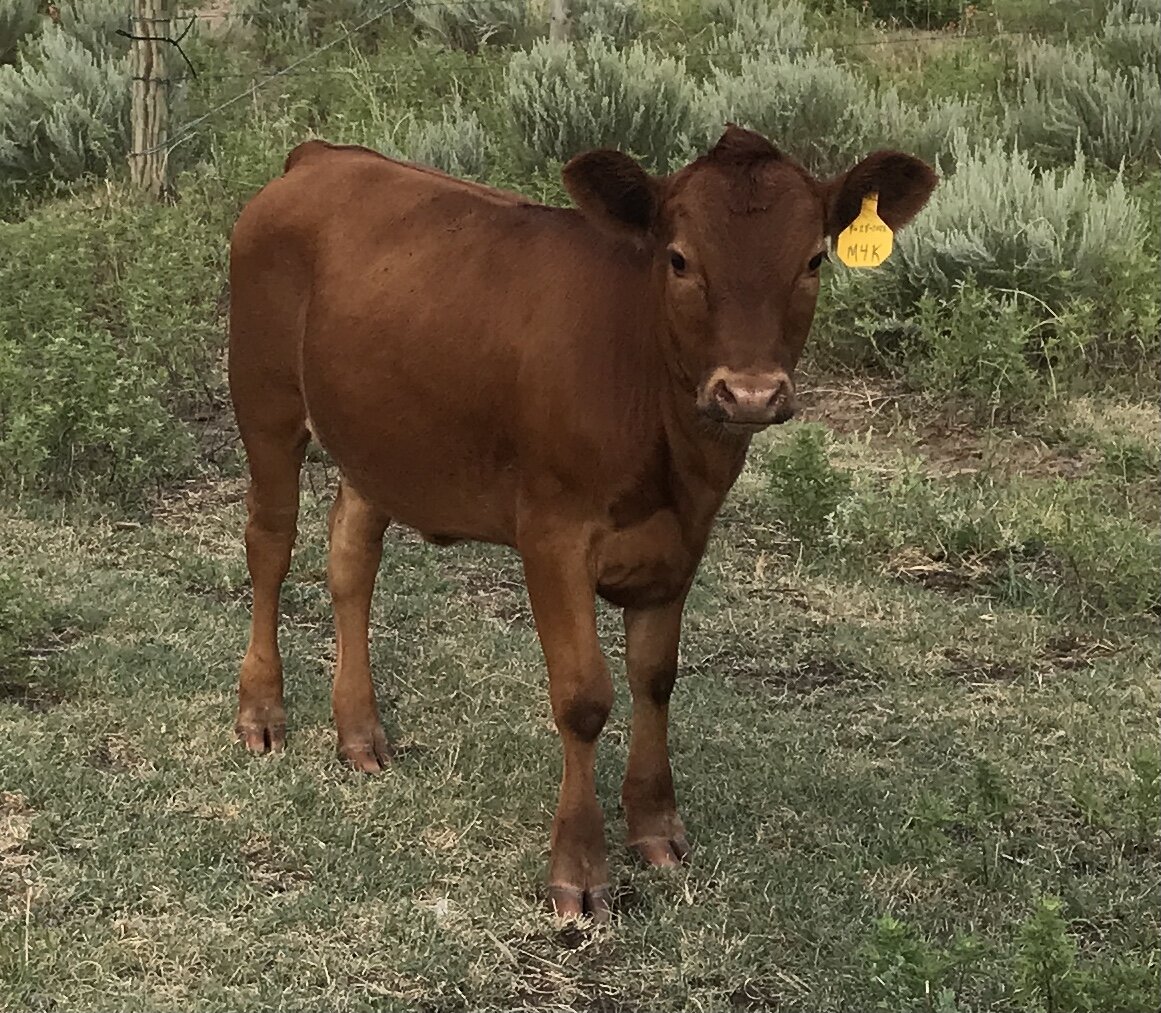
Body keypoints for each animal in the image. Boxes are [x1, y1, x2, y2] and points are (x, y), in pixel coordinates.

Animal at [227, 125, 936, 921]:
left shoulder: (682, 540)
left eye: (813, 259)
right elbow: (584, 696)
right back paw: (261, 711)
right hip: (264, 398)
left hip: (375, 435)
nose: (750, 393)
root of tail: (322, 155)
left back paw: (359, 733)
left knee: (351, 553)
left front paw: (656, 826)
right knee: (270, 542)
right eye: (679, 258)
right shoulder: (552, 536)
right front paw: (579, 868)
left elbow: (655, 678)